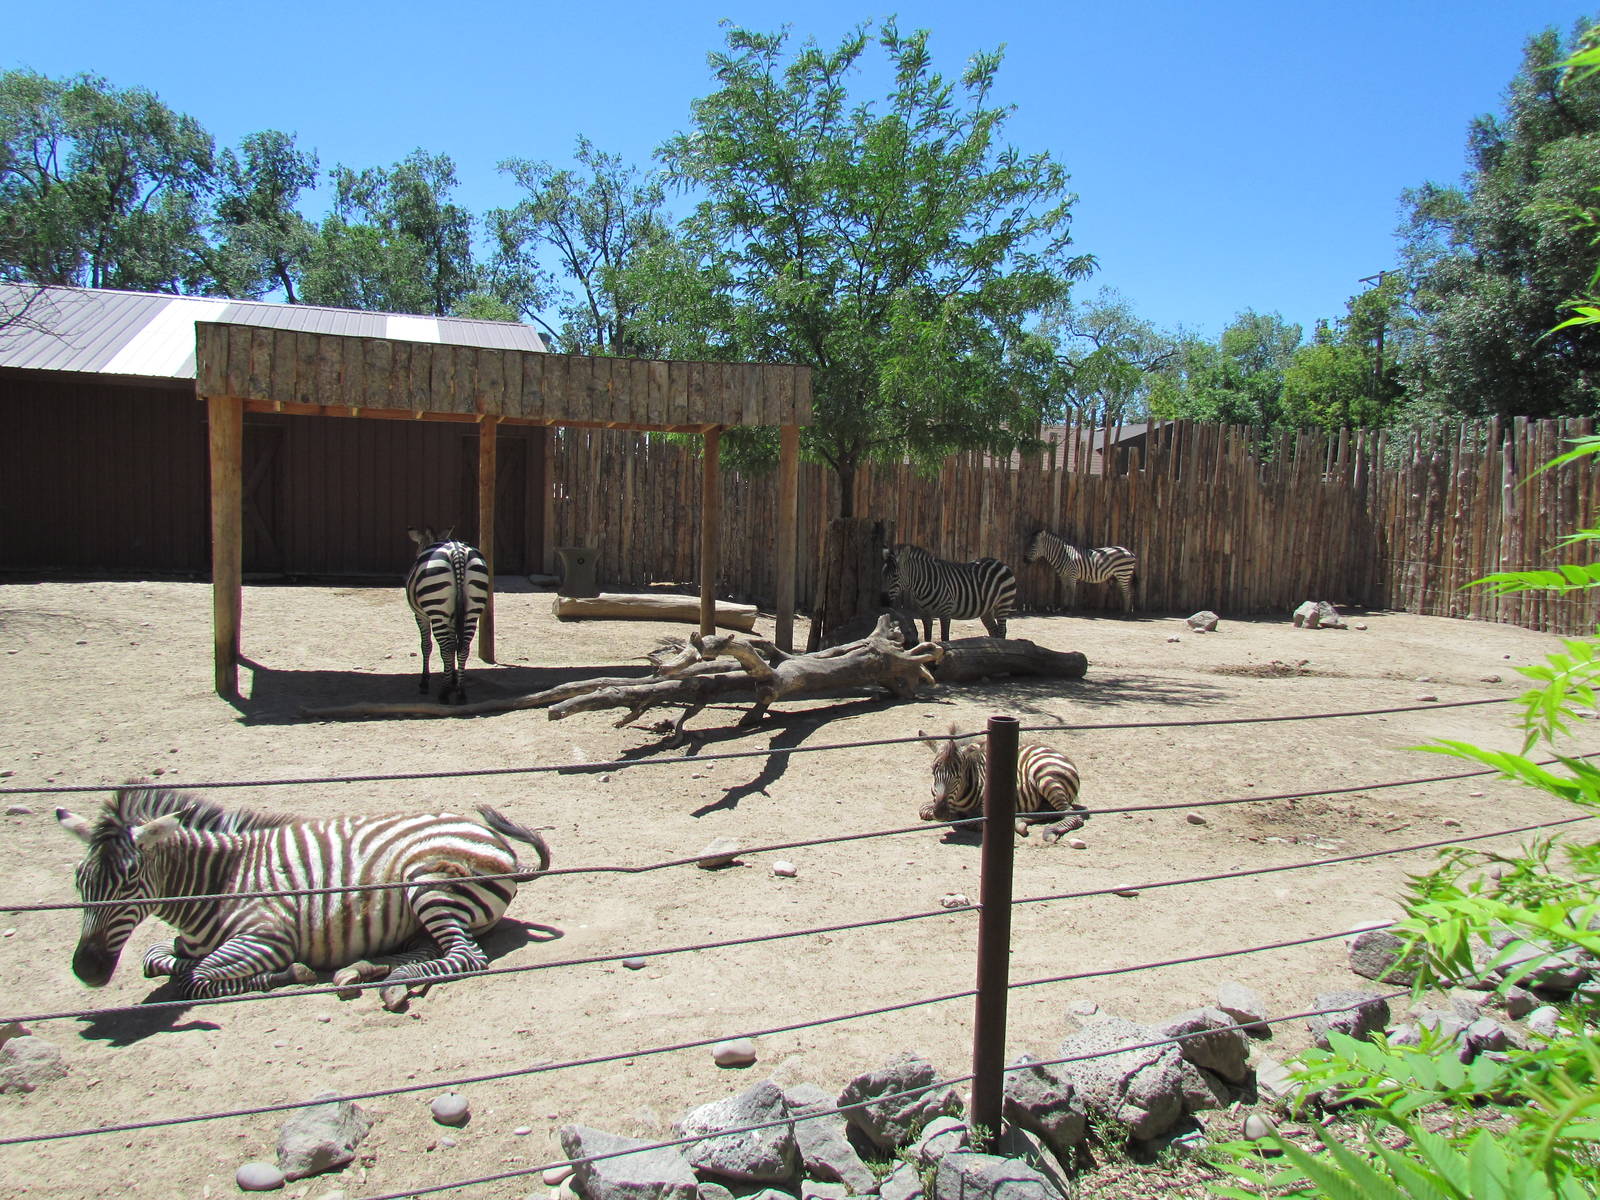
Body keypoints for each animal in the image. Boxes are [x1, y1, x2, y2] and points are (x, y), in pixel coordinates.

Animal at [55, 782, 550, 1010]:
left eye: (130, 879)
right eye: (79, 881)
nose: (86, 971)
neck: (218, 882)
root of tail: (500, 844)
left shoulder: (264, 939)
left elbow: (193, 980)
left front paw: (289, 973)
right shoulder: (185, 944)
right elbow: (157, 959)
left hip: (427, 881)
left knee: (466, 957)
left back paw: (389, 981)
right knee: (433, 949)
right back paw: (365, 969)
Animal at [406, 527, 490, 704]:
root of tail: (457, 552)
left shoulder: (421, 617)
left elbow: (426, 646)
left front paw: (425, 681)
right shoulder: (452, 618)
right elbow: (453, 647)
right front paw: (452, 679)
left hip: (437, 608)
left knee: (445, 647)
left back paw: (444, 693)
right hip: (472, 611)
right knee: (463, 648)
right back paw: (461, 692)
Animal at [882, 543, 1018, 642]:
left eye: (895, 576)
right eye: (883, 574)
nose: (884, 601)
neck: (925, 583)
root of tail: (999, 562)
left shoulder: (945, 611)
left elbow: (945, 638)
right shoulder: (924, 613)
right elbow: (927, 637)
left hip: (1004, 603)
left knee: (1002, 630)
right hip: (987, 609)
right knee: (993, 630)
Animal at [918, 726, 1085, 839]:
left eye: (958, 776)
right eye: (933, 772)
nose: (940, 813)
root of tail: (1056, 752)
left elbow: (973, 821)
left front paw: (958, 816)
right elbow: (923, 809)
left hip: (1046, 777)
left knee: (1072, 816)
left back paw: (1049, 831)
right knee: (1048, 812)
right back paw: (1020, 820)